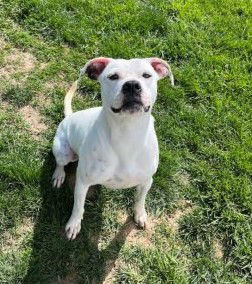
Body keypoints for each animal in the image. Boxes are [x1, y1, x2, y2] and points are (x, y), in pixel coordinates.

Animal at [51, 56, 173, 239]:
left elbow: (140, 199)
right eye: (113, 76)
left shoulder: (147, 180)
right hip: (63, 151)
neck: (127, 133)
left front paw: (140, 215)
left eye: (146, 75)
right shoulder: (83, 181)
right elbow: (78, 206)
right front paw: (73, 224)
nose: (132, 85)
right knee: (60, 163)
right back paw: (58, 175)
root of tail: (69, 116)